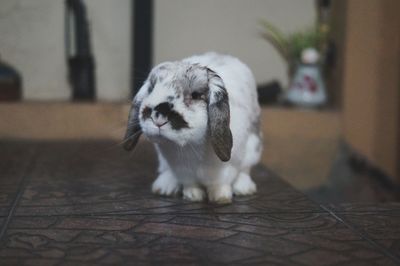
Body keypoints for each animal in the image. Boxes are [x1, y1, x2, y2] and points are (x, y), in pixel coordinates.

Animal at [124, 52, 262, 204]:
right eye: (151, 89)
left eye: (195, 95)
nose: (158, 116)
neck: (189, 147)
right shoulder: (182, 170)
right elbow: (190, 184)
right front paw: (193, 196)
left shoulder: (227, 168)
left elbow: (220, 183)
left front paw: (220, 197)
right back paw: (164, 188)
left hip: (252, 150)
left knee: (245, 170)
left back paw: (244, 188)